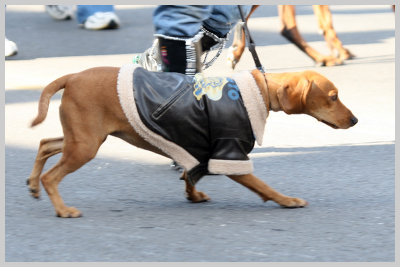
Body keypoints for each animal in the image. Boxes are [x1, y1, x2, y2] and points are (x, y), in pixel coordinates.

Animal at [27, 66, 356, 219]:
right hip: (85, 145)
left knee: (45, 144)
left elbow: (190, 175)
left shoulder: (198, 149)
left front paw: (193, 196)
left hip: (81, 138)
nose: (354, 121)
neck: (260, 91)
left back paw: (32, 185)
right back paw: (62, 209)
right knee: (51, 176)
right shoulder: (230, 153)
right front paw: (288, 200)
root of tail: (73, 76)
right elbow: (266, 187)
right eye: (333, 97)